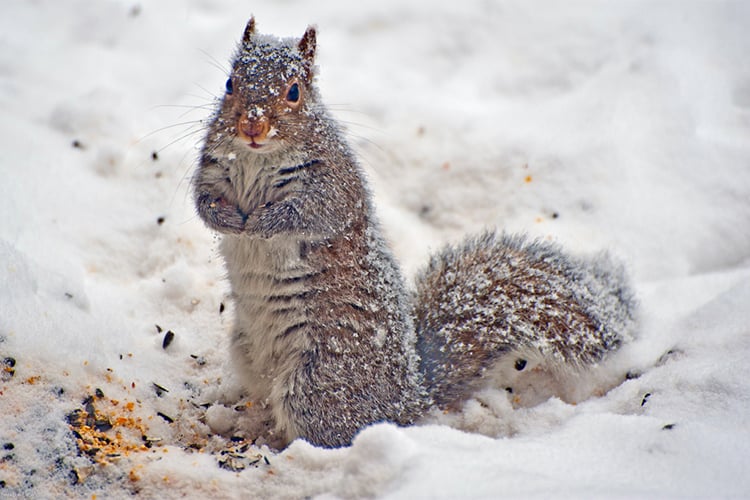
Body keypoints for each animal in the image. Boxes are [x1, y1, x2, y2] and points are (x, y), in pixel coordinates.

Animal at [191, 18, 636, 450]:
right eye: (230, 82)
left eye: (294, 91)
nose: (252, 125)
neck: (256, 157)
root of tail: (411, 396)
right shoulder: (212, 167)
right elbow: (202, 200)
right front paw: (226, 219)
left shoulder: (333, 183)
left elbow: (311, 213)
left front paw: (262, 223)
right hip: (247, 353)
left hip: (319, 384)